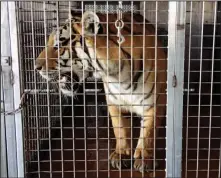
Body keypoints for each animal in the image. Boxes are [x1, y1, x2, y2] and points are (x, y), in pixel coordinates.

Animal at [34, 10, 167, 172]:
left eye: (59, 45)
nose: (36, 67)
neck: (119, 76)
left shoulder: (153, 103)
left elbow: (148, 132)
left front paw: (144, 159)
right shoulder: (114, 103)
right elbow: (120, 129)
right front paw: (121, 154)